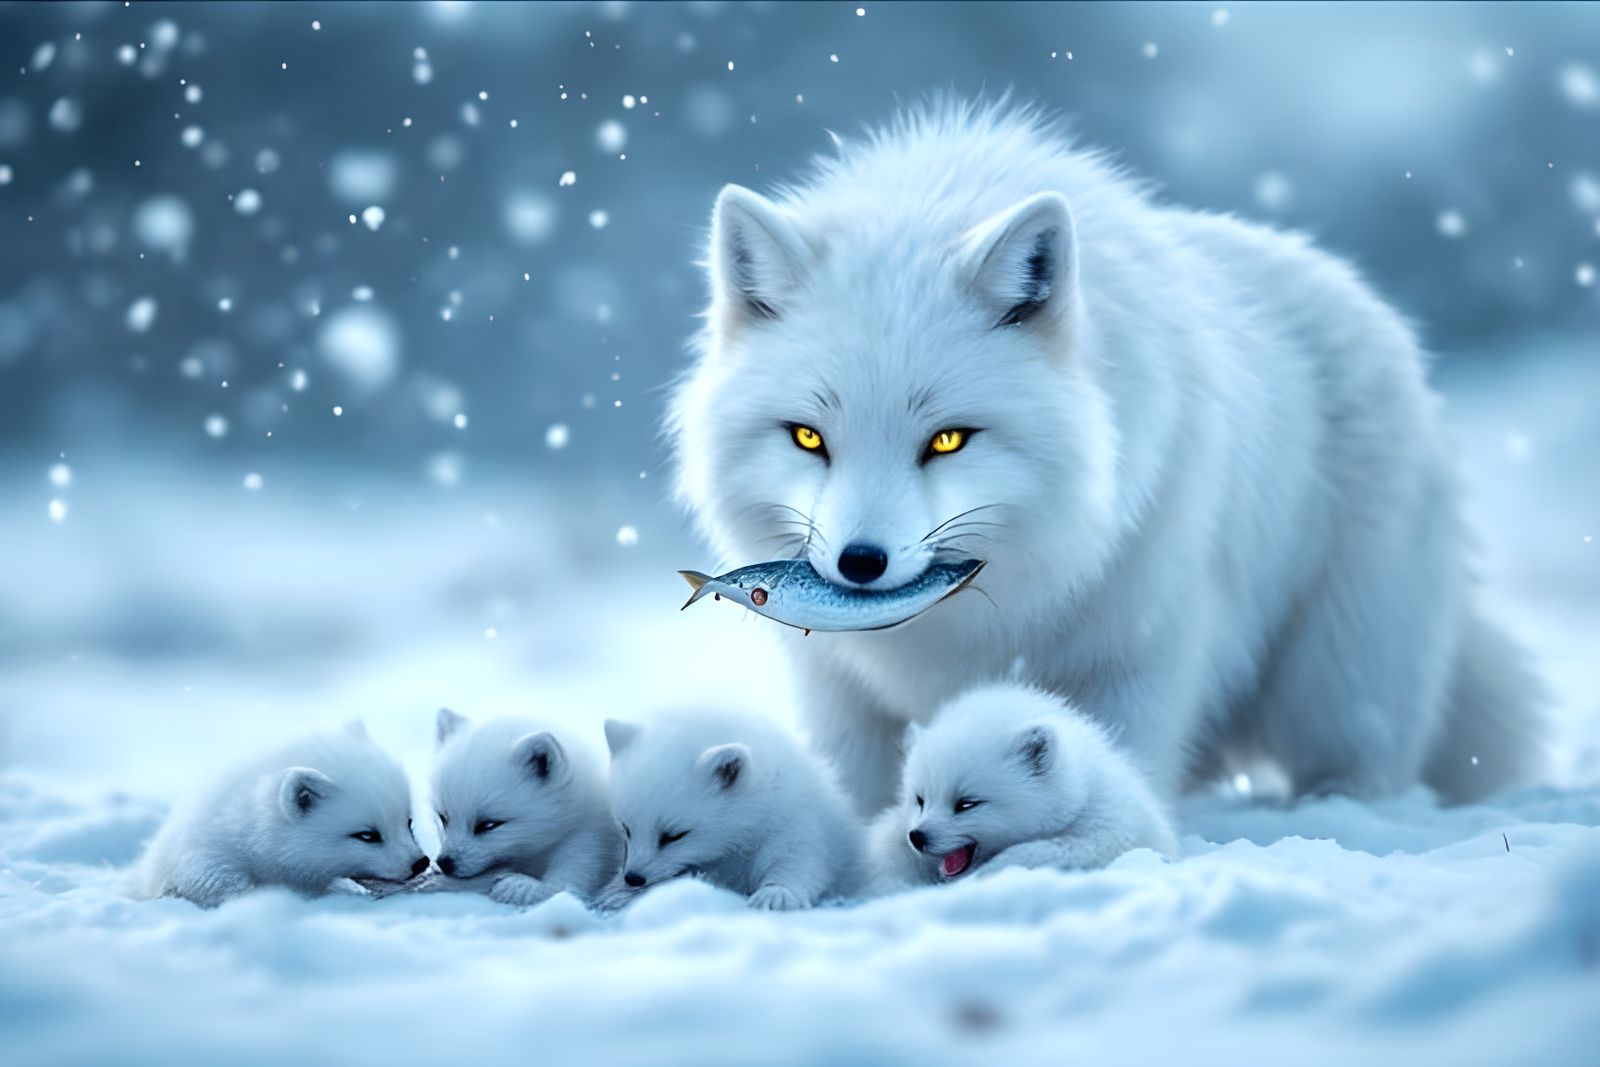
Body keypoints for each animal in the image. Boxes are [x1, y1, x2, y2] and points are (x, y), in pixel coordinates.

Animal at [429, 709, 622, 907]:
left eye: (488, 825)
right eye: (442, 818)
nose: (444, 864)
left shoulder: (588, 842)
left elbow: (562, 888)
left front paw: (520, 886)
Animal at [597, 710, 864, 911]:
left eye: (674, 836)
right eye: (626, 828)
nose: (633, 878)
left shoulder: (796, 823)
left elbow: (800, 861)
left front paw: (775, 894)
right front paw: (616, 891)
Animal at [668, 99, 1543, 825]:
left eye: (947, 439)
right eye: (808, 438)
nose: (859, 563)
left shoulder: (1138, 649)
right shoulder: (841, 687)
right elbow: (861, 788)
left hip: (1333, 679)